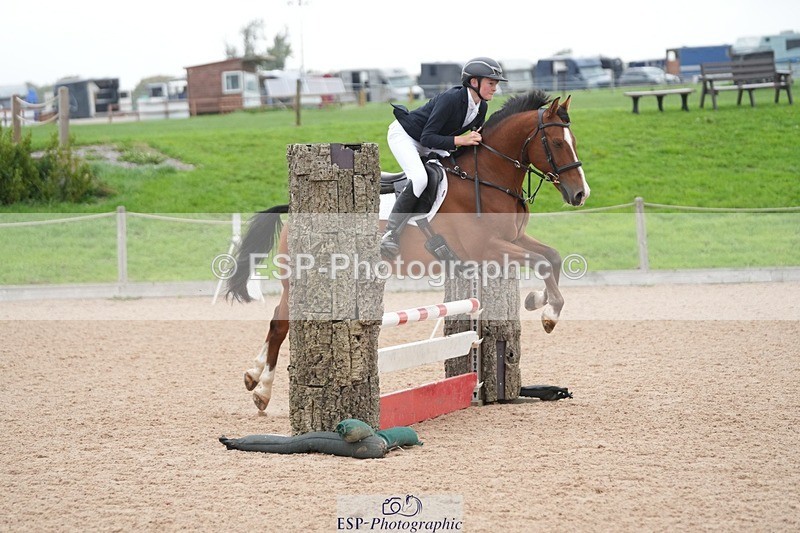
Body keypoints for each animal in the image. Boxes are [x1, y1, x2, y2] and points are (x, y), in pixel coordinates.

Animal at [227, 89, 590, 411]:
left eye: (573, 141)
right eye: (557, 143)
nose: (580, 194)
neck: (487, 176)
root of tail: (293, 207)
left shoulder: (513, 239)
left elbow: (552, 257)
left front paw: (537, 301)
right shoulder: (489, 247)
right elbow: (541, 262)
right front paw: (548, 314)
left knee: (277, 322)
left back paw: (254, 378)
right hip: (302, 277)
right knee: (280, 324)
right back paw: (262, 390)